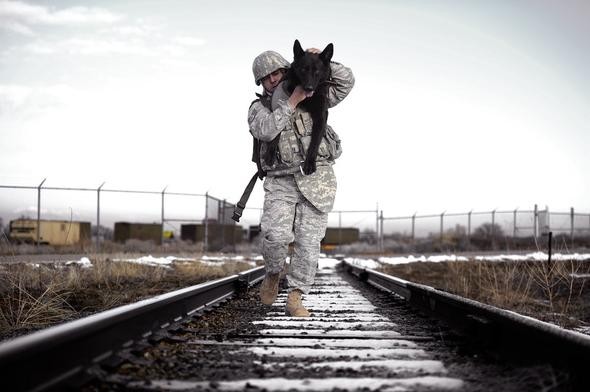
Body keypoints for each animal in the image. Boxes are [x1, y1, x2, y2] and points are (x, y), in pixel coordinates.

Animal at [266, 39, 336, 175]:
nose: (309, 88)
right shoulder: (278, 104)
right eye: (303, 70)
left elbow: (315, 140)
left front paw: (309, 164)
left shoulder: (321, 115)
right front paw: (270, 152)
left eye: (317, 71)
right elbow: (275, 130)